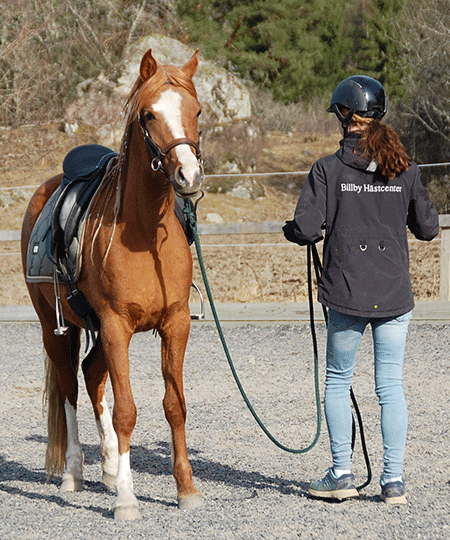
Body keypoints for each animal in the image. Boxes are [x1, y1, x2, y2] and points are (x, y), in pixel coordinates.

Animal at [20, 49, 204, 520]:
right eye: (149, 114)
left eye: (196, 111)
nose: (188, 176)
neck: (142, 233)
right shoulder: (118, 326)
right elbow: (126, 412)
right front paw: (126, 499)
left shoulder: (175, 324)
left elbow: (174, 406)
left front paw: (186, 489)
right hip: (55, 328)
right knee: (69, 387)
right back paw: (75, 473)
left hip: (97, 330)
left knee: (90, 375)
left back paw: (106, 466)